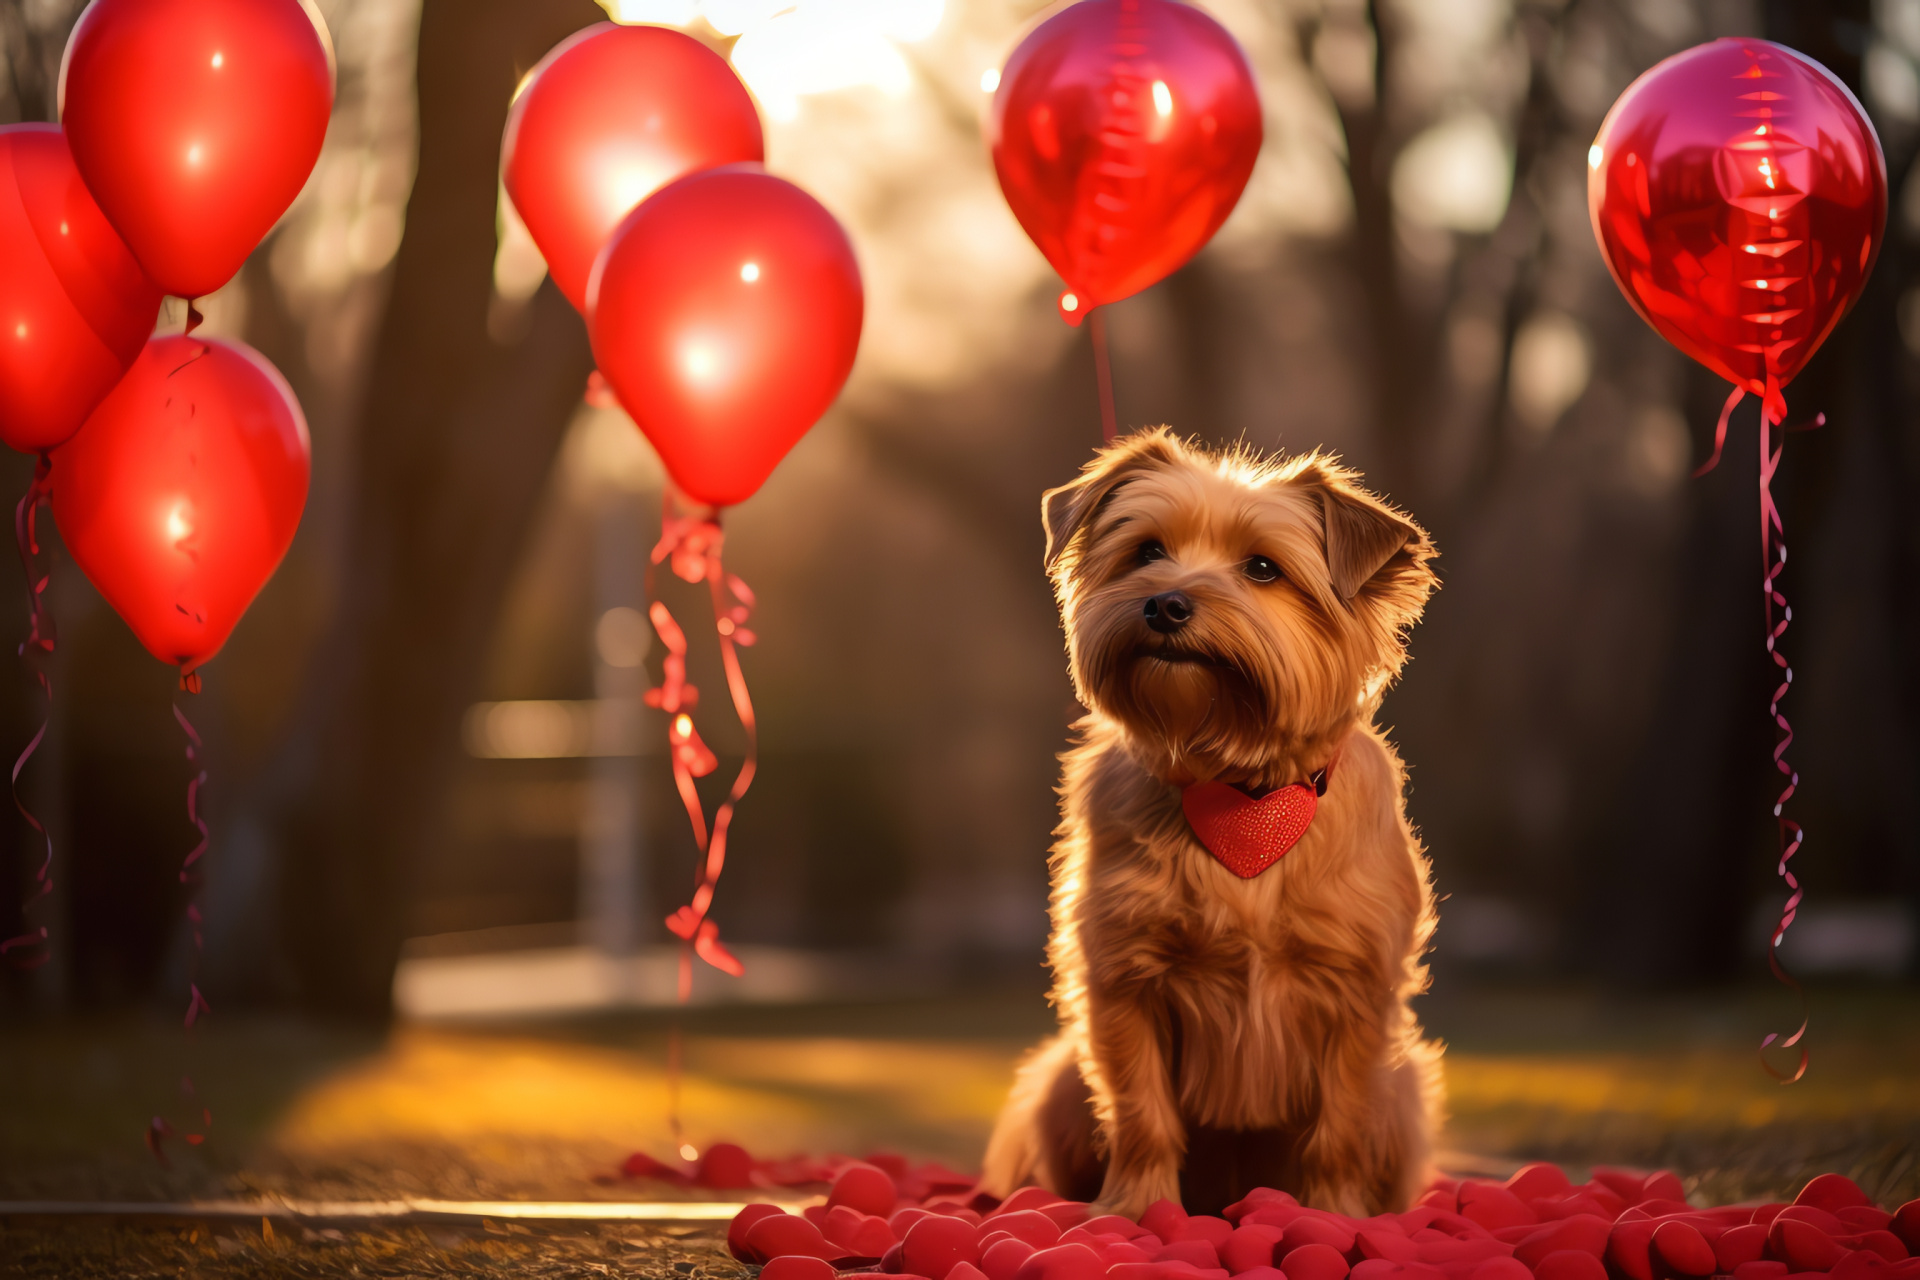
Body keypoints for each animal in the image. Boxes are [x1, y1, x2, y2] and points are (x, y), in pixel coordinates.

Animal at [975, 427, 1443, 1220]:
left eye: (1263, 568)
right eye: (1147, 552)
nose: (1165, 604)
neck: (1237, 782)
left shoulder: (1354, 994)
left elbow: (1340, 1122)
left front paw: (1335, 1213)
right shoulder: (1125, 982)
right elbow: (1141, 1111)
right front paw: (1135, 1208)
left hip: (1405, 1090)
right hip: (1060, 1076)